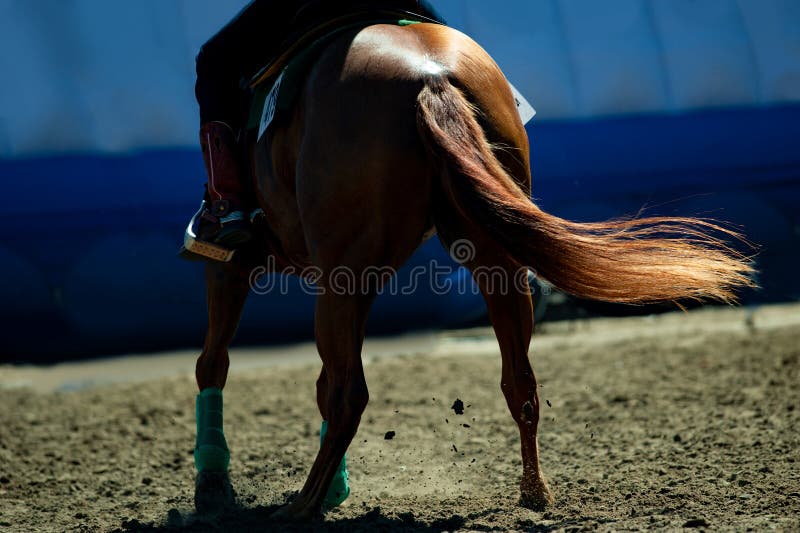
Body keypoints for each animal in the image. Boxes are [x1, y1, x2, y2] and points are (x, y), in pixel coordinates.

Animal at [191, 22, 752, 516]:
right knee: (519, 383)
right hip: (489, 261)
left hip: (343, 277)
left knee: (348, 393)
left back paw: (305, 503)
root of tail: (428, 75)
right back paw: (533, 493)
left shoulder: (232, 268)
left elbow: (213, 362)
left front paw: (213, 485)